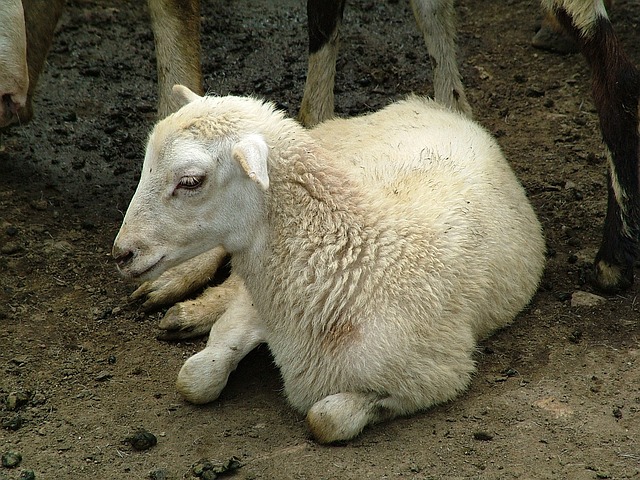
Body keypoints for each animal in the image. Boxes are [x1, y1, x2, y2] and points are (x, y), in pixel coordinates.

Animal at [111, 85, 544, 442]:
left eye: (190, 181)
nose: (121, 253)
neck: (354, 261)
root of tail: (431, 105)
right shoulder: (254, 309)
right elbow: (196, 378)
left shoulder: (436, 375)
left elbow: (324, 420)